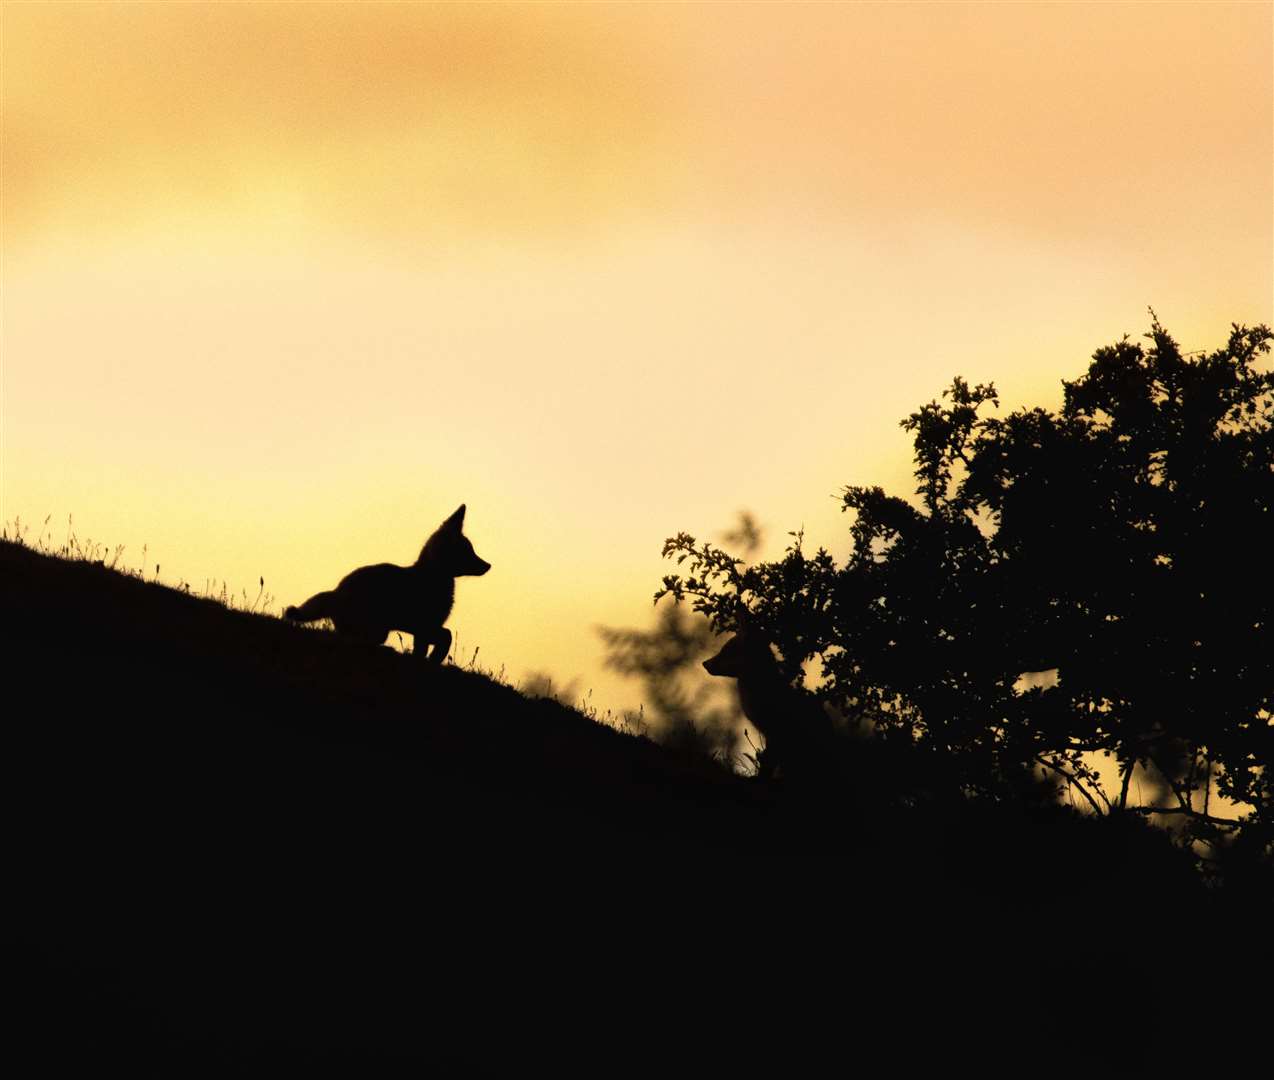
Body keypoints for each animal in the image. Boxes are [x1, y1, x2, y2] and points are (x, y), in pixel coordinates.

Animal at [286, 504, 489, 662]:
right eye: (468, 552)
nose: (488, 565)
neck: (432, 577)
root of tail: (336, 592)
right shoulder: (424, 627)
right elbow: (444, 638)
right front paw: (433, 658)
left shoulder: (425, 629)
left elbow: (437, 641)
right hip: (376, 630)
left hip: (378, 631)